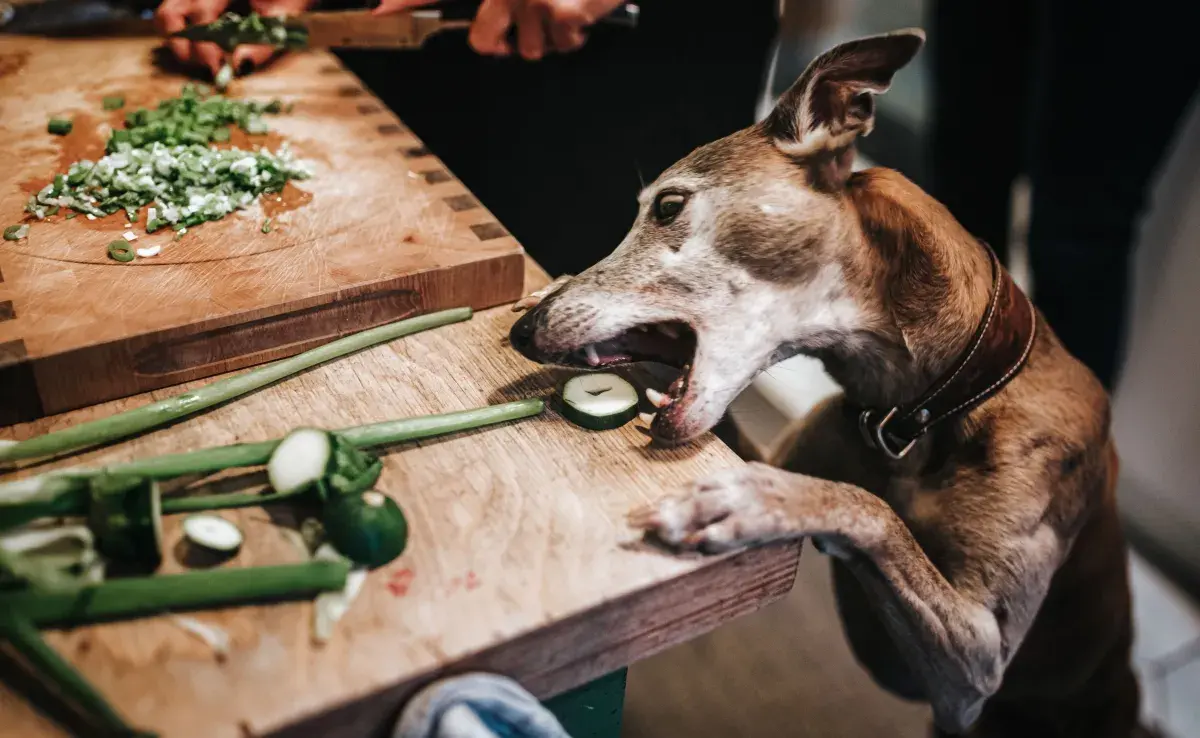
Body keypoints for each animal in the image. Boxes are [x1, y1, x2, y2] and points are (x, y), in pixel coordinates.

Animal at [508, 27, 1142, 738]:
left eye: (669, 205)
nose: (525, 331)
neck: (923, 409)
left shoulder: (980, 661)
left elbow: (869, 508)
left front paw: (754, 502)